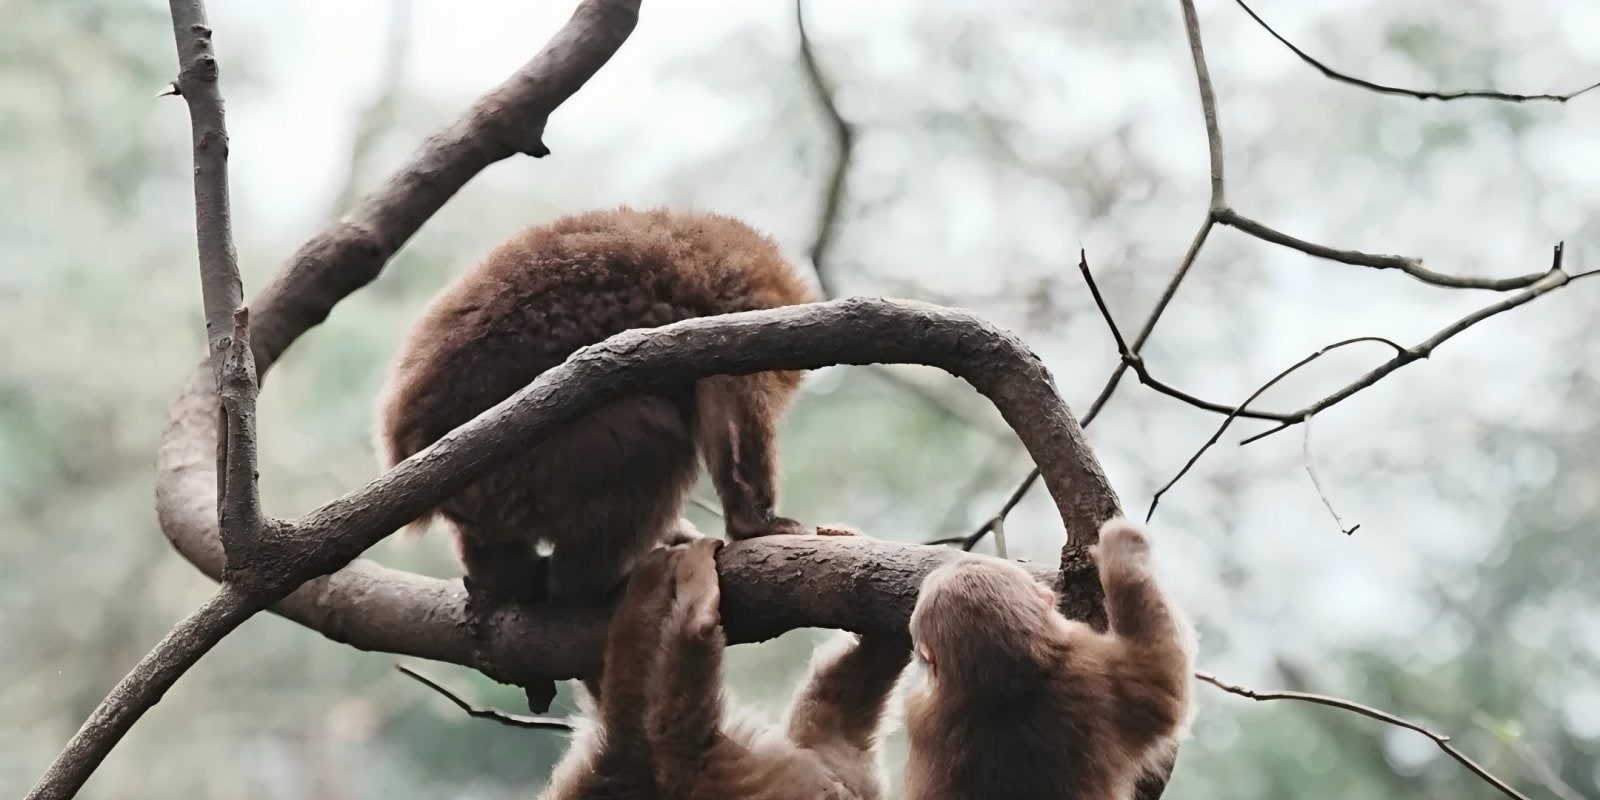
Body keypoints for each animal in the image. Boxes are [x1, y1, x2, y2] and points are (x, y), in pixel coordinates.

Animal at [372, 208, 819, 611]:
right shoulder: (745, 313)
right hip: (522, 476)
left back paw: (503, 577)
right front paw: (755, 522)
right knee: (656, 435)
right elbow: (729, 397)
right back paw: (587, 581)